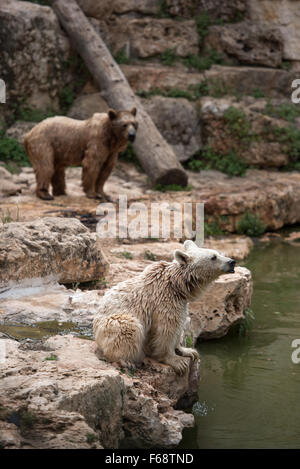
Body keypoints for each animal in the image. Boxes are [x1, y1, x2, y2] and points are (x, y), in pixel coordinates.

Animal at [92, 239, 236, 374]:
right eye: (213, 257)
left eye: (219, 253)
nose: (232, 262)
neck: (176, 284)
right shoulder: (164, 300)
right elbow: (167, 328)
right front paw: (177, 362)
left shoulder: (181, 302)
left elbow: (180, 325)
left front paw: (188, 351)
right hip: (112, 323)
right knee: (128, 327)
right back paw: (125, 360)